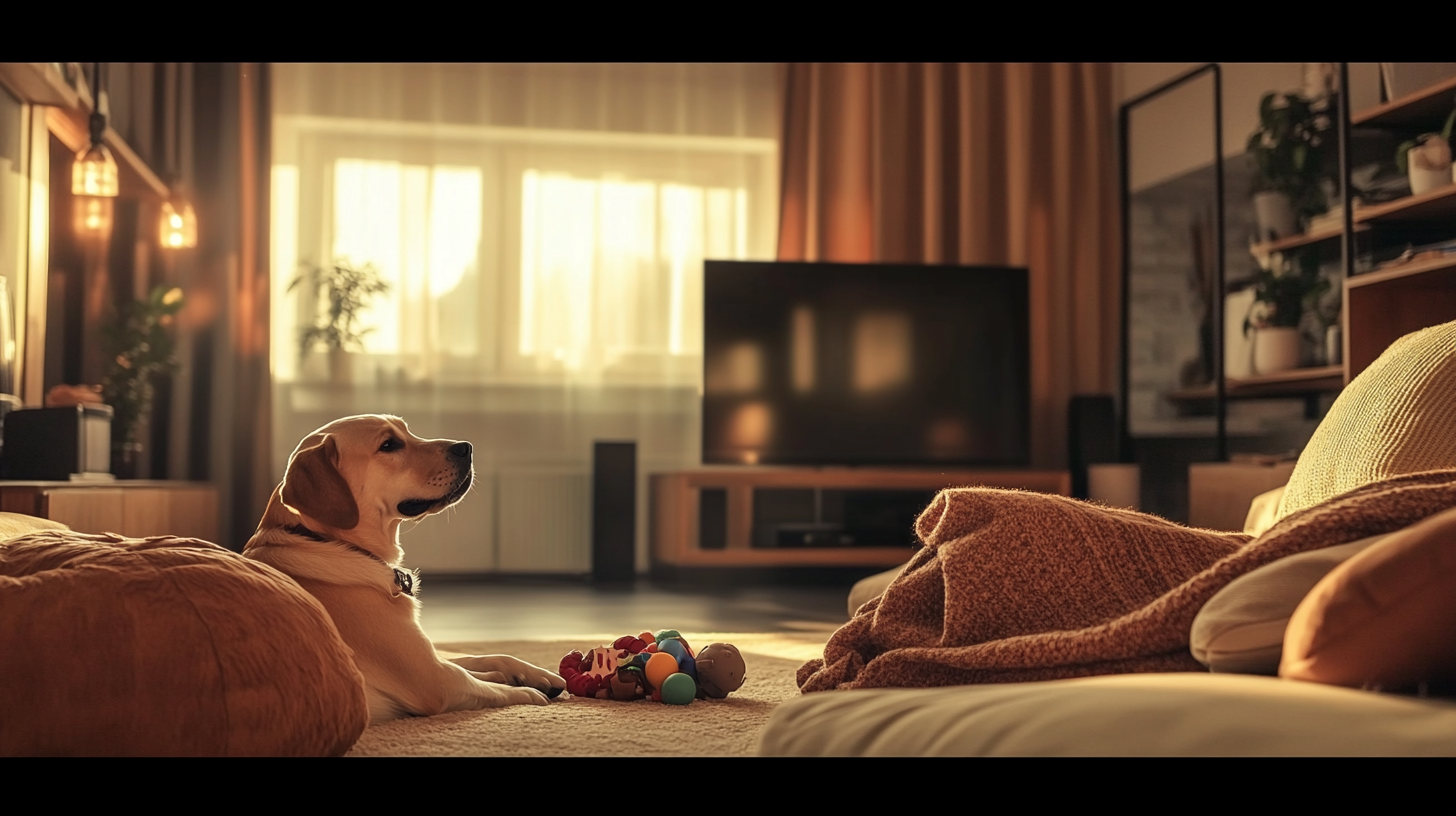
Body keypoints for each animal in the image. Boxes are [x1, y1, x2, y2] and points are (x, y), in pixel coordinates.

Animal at [244, 413, 562, 719]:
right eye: (389, 445)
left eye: (407, 432)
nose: (466, 448)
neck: (324, 541)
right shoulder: (436, 679)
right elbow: (487, 685)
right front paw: (528, 692)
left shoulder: (430, 654)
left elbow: (485, 657)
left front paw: (537, 674)